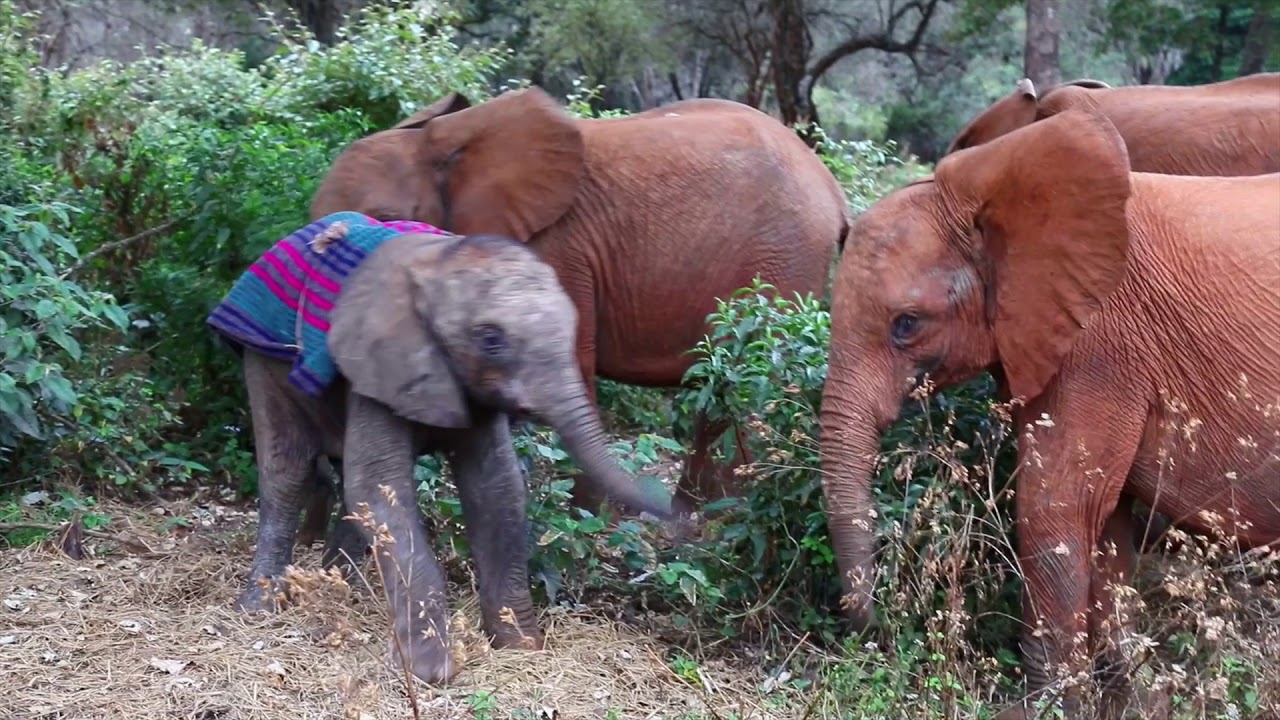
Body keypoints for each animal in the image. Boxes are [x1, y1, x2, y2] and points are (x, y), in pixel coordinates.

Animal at [213, 224, 676, 685]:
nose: (681, 513)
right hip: (262, 363)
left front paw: (521, 646)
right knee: (287, 470)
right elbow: (378, 486)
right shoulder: (379, 360)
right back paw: (261, 606)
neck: (440, 263)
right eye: (490, 339)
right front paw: (430, 673)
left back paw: (342, 586)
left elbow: (496, 488)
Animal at [304, 86, 850, 532]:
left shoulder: (557, 250)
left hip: (781, 262)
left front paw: (582, 519)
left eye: (385, 220)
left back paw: (715, 521)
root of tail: (834, 192)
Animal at [818, 108, 1279, 718]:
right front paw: (1128, 698)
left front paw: (1045, 707)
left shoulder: (1100, 343)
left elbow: (1056, 509)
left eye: (907, 324)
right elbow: (1105, 529)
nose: (873, 632)